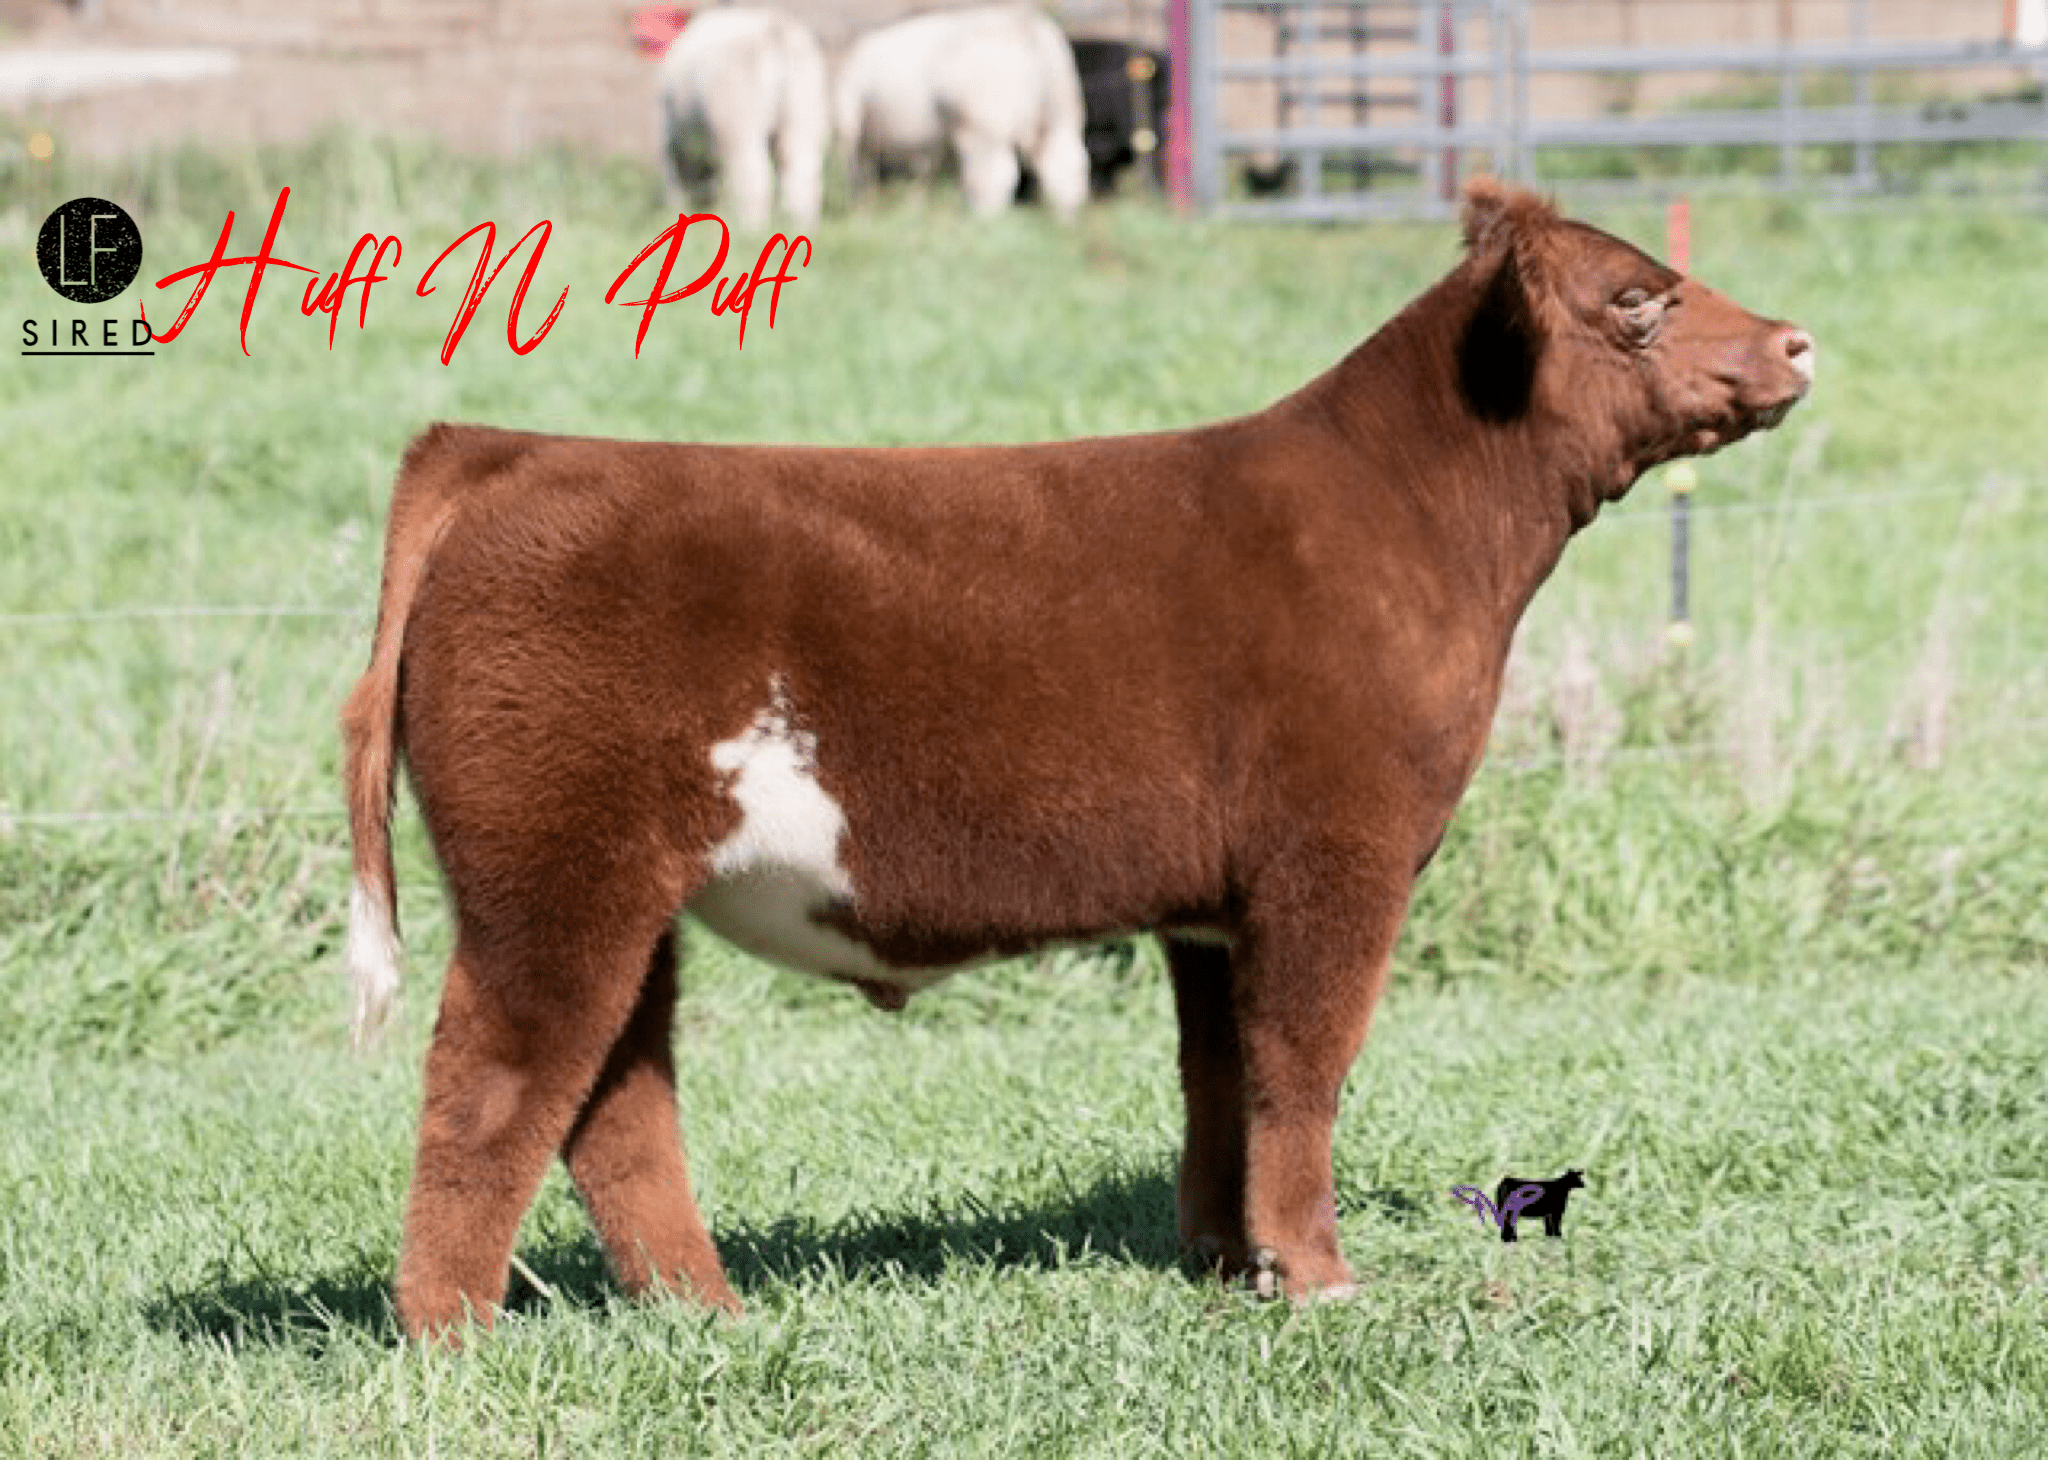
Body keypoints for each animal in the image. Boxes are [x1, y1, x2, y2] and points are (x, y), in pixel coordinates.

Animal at [341, 180, 1815, 1342]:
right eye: (1636, 299)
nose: (1797, 338)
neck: (1410, 522)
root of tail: (511, 453)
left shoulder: (1214, 907)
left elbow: (1222, 1074)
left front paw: (1228, 1262)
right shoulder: (1336, 856)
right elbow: (1304, 1065)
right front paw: (1320, 1277)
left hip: (624, 889)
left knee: (614, 1097)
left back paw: (709, 1311)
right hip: (557, 869)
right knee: (494, 1079)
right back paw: (454, 1334)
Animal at [654, 6, 828, 228]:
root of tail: (775, 31)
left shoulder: (671, 138)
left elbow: (675, 181)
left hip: (738, 112)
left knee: (752, 175)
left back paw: (750, 229)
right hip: (805, 103)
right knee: (801, 169)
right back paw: (801, 226)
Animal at [834, 3, 1090, 219]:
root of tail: (1030, 31)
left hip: (983, 119)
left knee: (995, 173)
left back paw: (983, 219)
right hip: (1060, 105)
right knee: (1065, 162)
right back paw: (1065, 219)